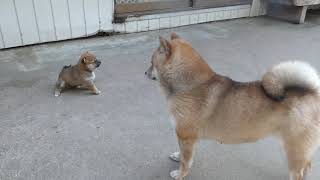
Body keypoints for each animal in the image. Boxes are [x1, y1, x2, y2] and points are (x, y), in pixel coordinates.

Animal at [146, 32, 320, 180]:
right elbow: (183, 155)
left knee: (298, 173)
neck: (191, 85)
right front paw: (177, 156)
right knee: (307, 167)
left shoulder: (186, 136)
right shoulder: (187, 139)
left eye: (151, 63)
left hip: (294, 150)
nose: (145, 73)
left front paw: (180, 174)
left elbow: (186, 161)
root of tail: (313, 92)